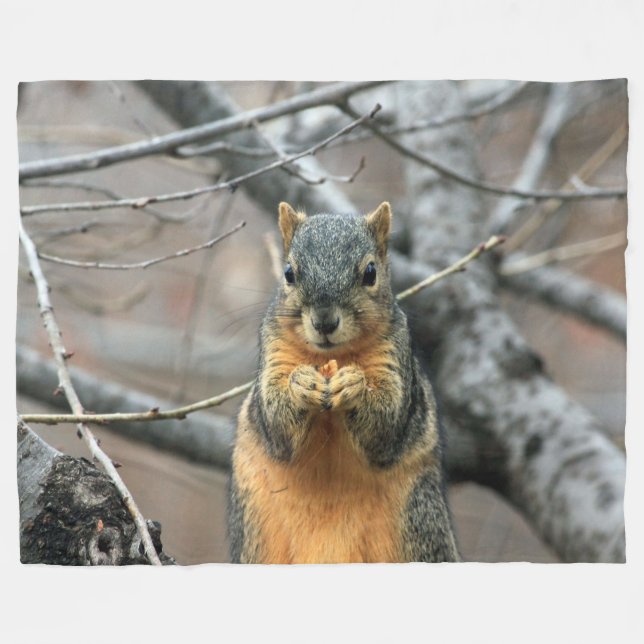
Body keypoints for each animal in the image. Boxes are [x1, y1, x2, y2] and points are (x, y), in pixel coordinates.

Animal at [227, 201, 459, 563]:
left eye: (370, 273)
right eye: (289, 273)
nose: (324, 321)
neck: (329, 358)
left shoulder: (395, 359)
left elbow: (386, 424)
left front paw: (354, 387)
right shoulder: (274, 351)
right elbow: (276, 424)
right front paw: (300, 385)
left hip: (418, 522)